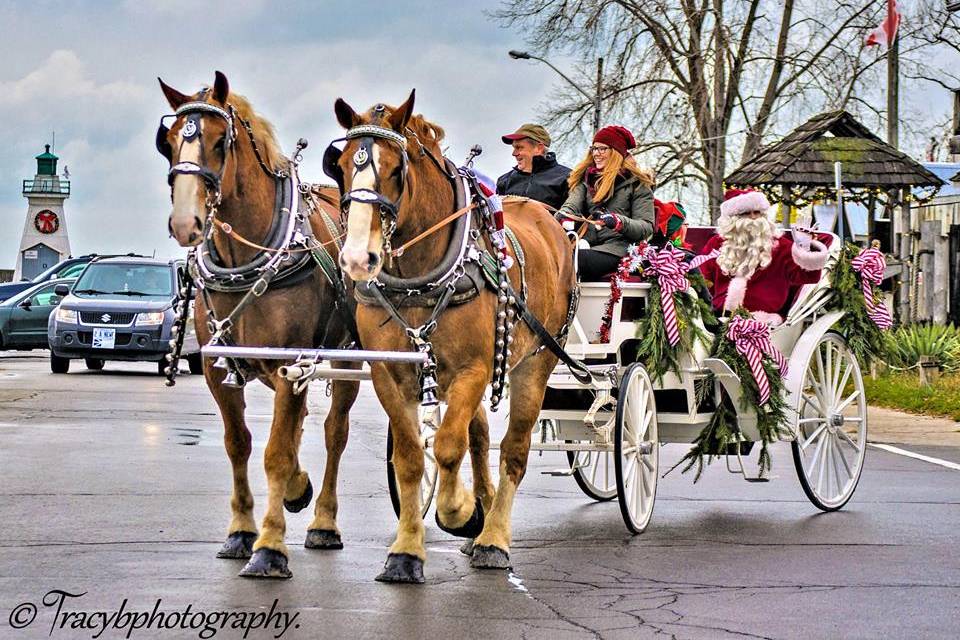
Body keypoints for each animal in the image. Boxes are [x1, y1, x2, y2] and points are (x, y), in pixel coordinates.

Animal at [159, 74, 358, 580]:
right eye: (168, 142)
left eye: (219, 141)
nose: (186, 222)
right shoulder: (221, 369)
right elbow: (240, 444)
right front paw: (241, 531)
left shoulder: (292, 366)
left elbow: (275, 452)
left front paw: (269, 547)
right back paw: (298, 489)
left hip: (350, 357)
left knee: (335, 431)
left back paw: (323, 521)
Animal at [334, 91, 572, 584]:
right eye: (343, 165)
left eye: (396, 169)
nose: (358, 259)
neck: (420, 278)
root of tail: (550, 221)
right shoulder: (390, 373)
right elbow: (411, 457)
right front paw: (406, 551)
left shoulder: (472, 370)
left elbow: (445, 447)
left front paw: (459, 510)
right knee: (478, 436)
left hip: (535, 362)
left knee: (513, 450)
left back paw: (493, 537)